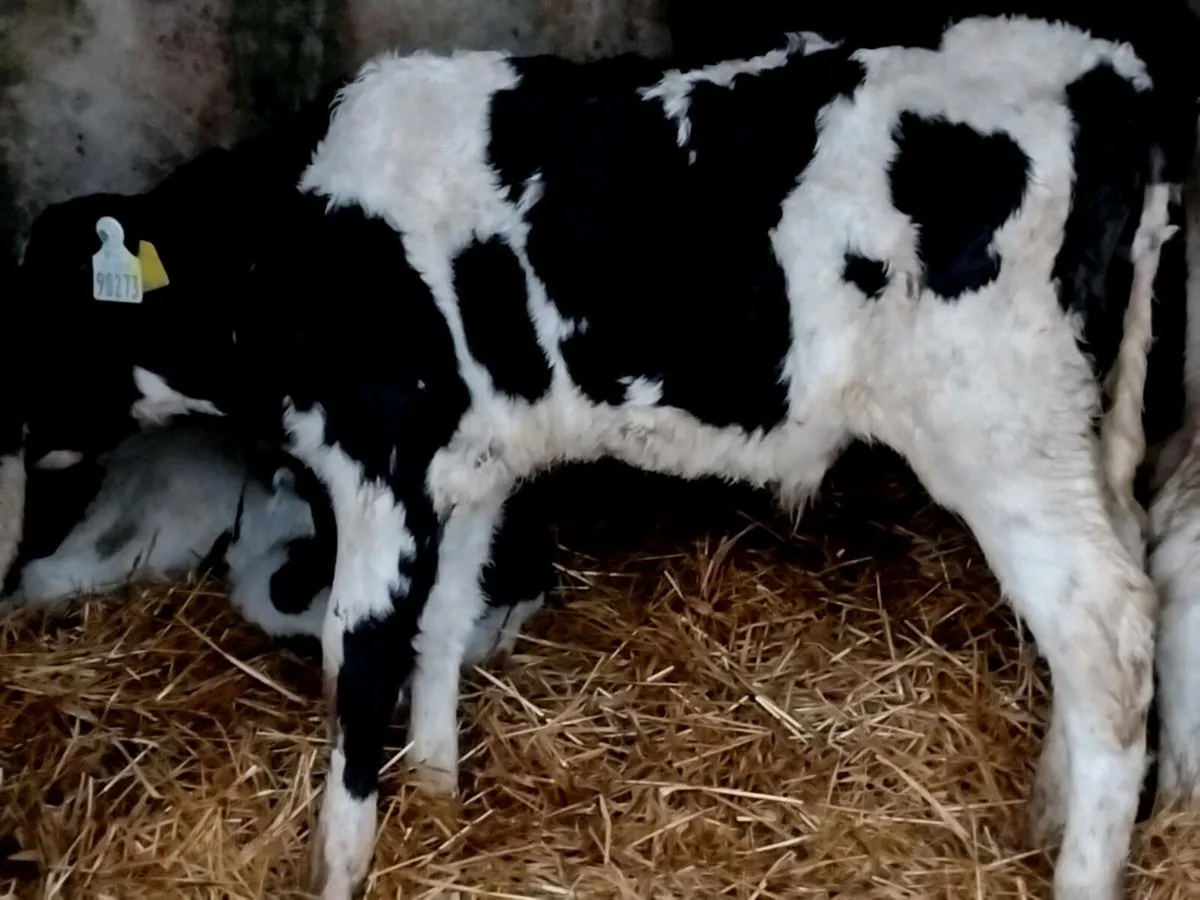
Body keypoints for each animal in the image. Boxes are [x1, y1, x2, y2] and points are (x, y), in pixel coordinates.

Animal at [12, 9, 1200, 900]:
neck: (302, 239)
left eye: (45, 319)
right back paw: (1048, 809)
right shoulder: (470, 461)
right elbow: (446, 622)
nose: (16, 437)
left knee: (1105, 631)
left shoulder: (378, 461)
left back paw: (1081, 869)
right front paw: (439, 792)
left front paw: (339, 868)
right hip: (1080, 431)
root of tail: (1104, 69)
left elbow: (361, 659)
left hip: (1000, 434)